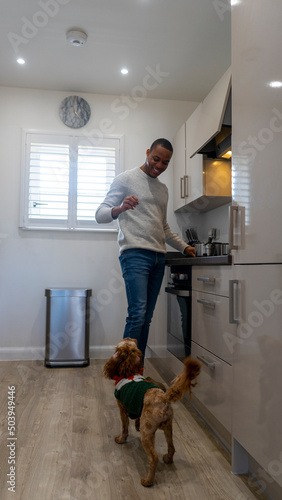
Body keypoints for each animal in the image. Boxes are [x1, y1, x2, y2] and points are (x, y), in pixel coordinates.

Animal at [103, 338, 200, 486]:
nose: (130, 338)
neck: (129, 370)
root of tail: (163, 398)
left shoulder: (122, 408)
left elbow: (124, 428)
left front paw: (120, 439)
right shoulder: (137, 407)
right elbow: (136, 419)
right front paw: (135, 425)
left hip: (147, 432)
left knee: (154, 458)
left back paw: (148, 481)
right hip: (168, 427)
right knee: (171, 447)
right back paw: (168, 459)